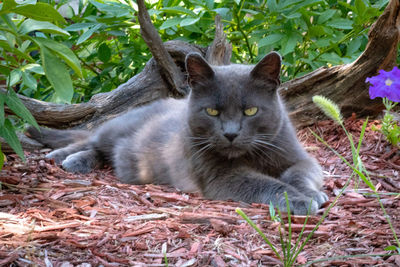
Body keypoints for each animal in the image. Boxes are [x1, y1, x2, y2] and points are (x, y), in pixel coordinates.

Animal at [28, 51, 328, 216]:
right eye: (212, 112)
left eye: (251, 111)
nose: (230, 134)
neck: (252, 155)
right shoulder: (220, 177)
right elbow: (266, 183)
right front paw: (298, 200)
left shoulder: (298, 156)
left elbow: (300, 172)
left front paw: (313, 194)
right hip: (115, 128)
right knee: (90, 139)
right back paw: (65, 156)